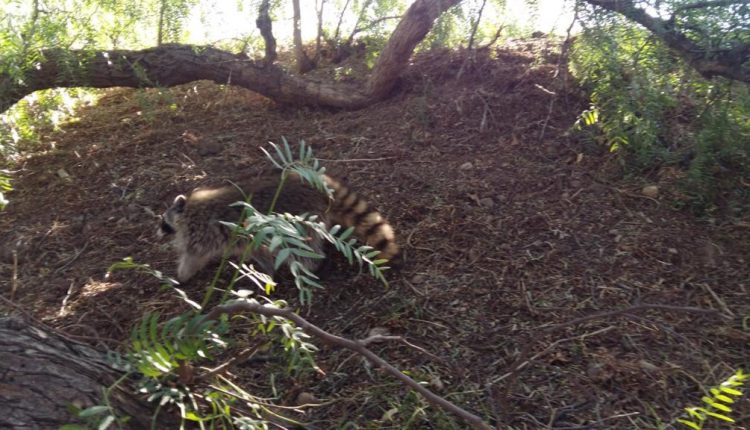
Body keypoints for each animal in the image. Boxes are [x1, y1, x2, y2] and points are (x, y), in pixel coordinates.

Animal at [159, 173, 400, 284]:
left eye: (163, 222)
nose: (158, 232)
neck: (187, 208)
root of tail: (312, 186)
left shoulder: (200, 230)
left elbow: (194, 255)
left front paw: (181, 275)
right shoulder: (248, 237)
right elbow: (259, 252)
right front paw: (266, 272)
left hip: (298, 220)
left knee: (304, 248)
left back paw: (311, 266)